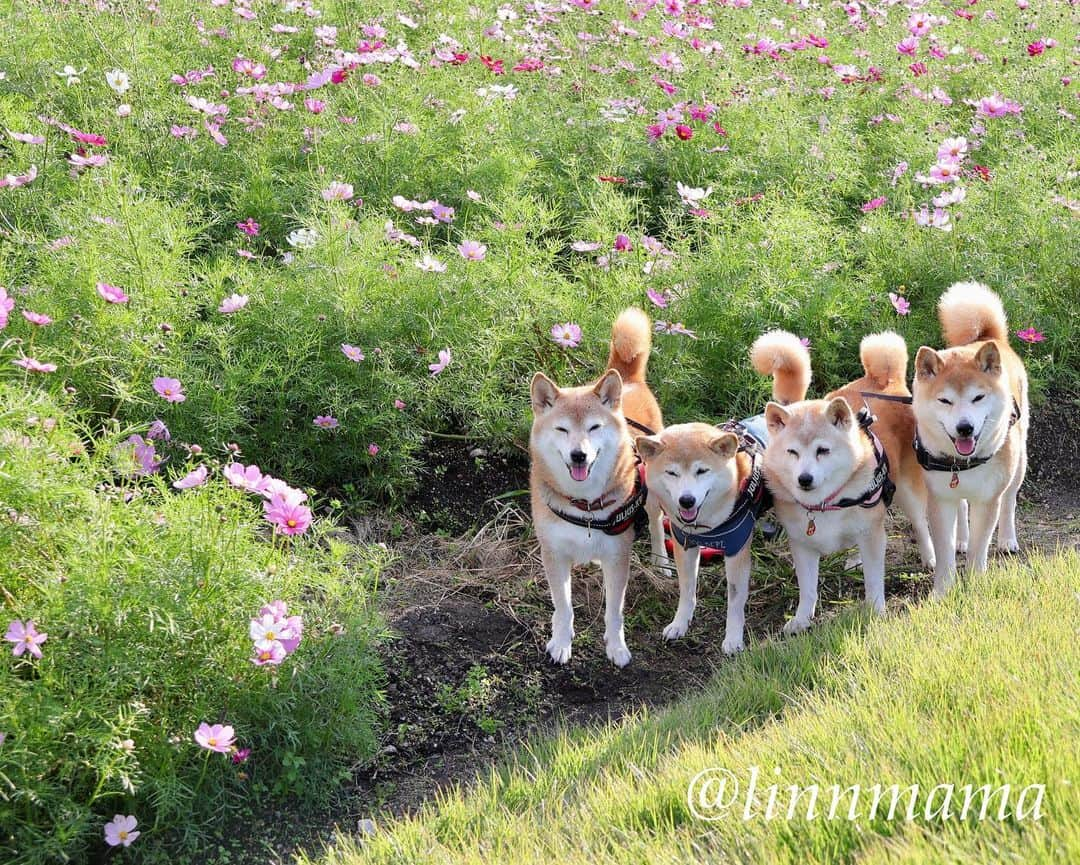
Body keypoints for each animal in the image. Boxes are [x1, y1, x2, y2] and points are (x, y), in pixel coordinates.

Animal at [529, 306, 665, 665]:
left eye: (593, 427)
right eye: (562, 429)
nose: (579, 455)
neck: (585, 506)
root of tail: (628, 381)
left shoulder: (618, 555)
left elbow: (614, 612)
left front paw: (616, 647)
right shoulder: (554, 553)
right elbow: (563, 607)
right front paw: (561, 641)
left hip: (656, 492)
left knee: (658, 524)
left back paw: (662, 562)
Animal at [630, 334, 812, 652]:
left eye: (702, 471)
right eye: (672, 473)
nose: (686, 500)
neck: (707, 524)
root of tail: (787, 409)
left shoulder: (736, 549)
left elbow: (735, 602)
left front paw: (733, 639)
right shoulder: (685, 544)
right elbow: (687, 590)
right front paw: (680, 624)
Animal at [751, 328, 937, 630]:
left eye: (823, 450)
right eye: (792, 452)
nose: (804, 479)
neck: (827, 503)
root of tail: (883, 380)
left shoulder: (872, 535)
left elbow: (874, 582)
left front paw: (876, 612)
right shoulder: (802, 544)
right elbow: (808, 589)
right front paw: (801, 620)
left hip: (906, 491)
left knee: (920, 525)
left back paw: (929, 557)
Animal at [911, 280, 1028, 596]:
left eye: (977, 398)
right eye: (945, 400)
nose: (965, 427)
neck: (962, 463)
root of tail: (990, 338)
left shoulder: (988, 499)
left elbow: (980, 546)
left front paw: (974, 583)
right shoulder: (940, 498)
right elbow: (944, 550)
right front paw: (942, 591)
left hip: (1018, 463)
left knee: (1010, 499)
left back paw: (1007, 540)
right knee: (963, 507)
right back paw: (961, 538)